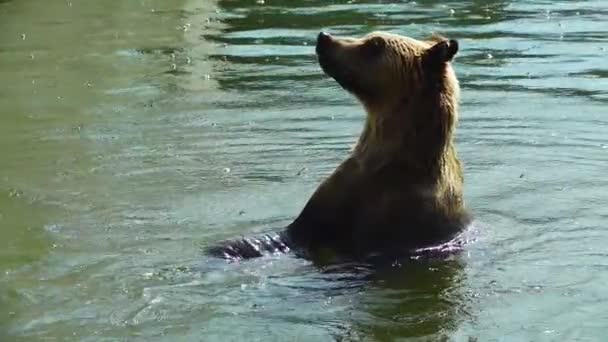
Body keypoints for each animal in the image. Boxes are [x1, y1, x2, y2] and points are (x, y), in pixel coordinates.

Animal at [209, 31, 470, 262]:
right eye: (371, 37)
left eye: (375, 44)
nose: (324, 37)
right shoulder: (337, 192)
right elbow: (296, 230)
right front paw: (232, 246)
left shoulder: (402, 213)